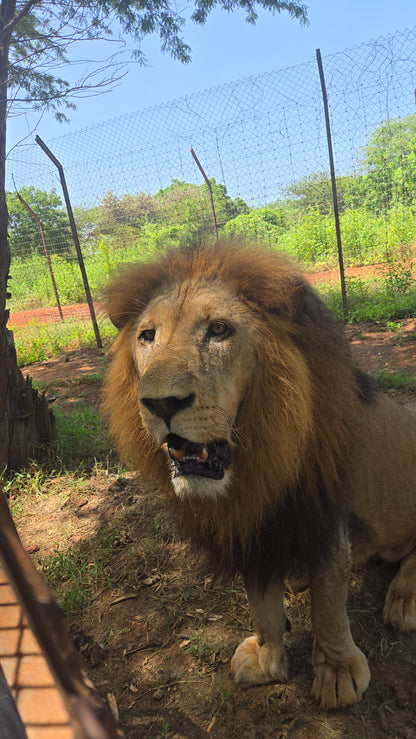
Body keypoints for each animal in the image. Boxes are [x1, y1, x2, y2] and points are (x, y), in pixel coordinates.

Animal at [103, 241, 416, 709]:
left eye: (218, 329)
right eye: (147, 336)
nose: (160, 404)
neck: (253, 462)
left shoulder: (324, 517)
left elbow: (329, 607)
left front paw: (338, 673)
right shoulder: (253, 524)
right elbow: (262, 603)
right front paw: (268, 661)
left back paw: (404, 600)